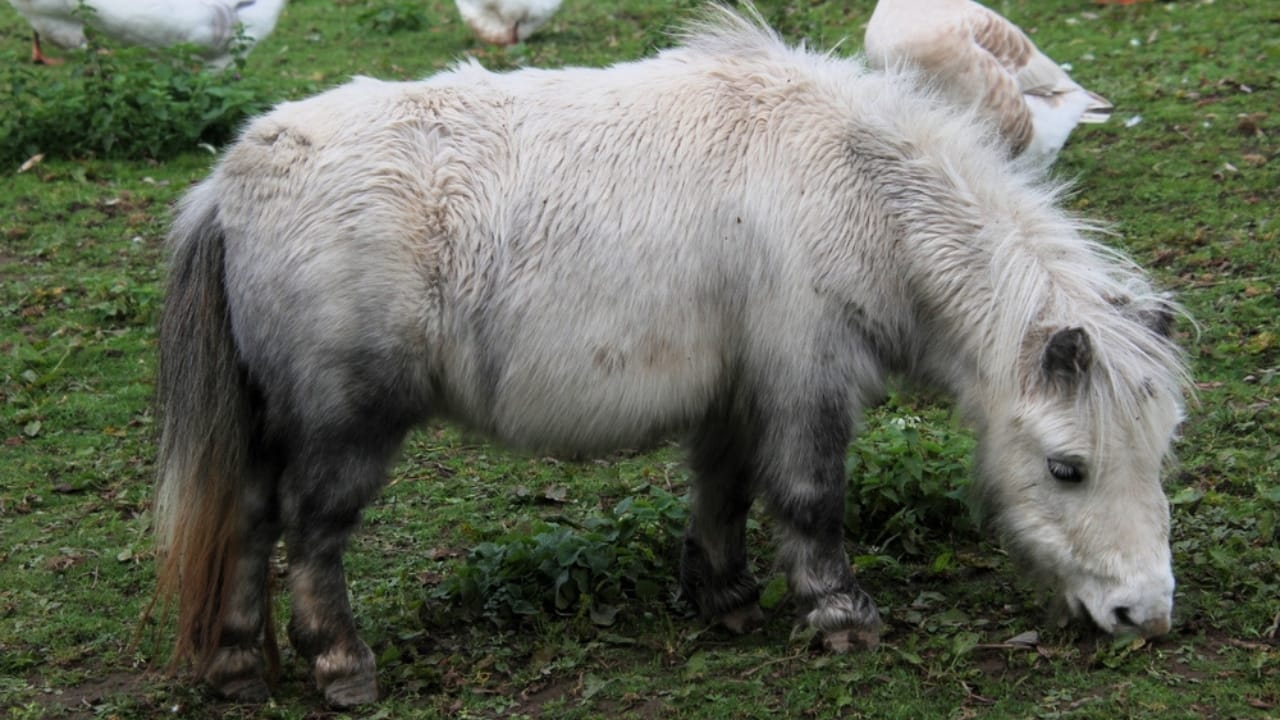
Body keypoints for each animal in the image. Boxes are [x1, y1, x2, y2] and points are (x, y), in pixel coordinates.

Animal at [153, 5, 1190, 708]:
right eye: (1068, 468)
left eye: (1159, 457)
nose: (1145, 616)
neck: (858, 187)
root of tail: (231, 178)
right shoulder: (807, 380)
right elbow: (810, 500)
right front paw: (840, 616)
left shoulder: (735, 389)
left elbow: (722, 491)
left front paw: (724, 600)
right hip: (345, 425)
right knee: (310, 535)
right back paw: (342, 666)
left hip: (272, 422)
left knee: (248, 520)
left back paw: (239, 666)